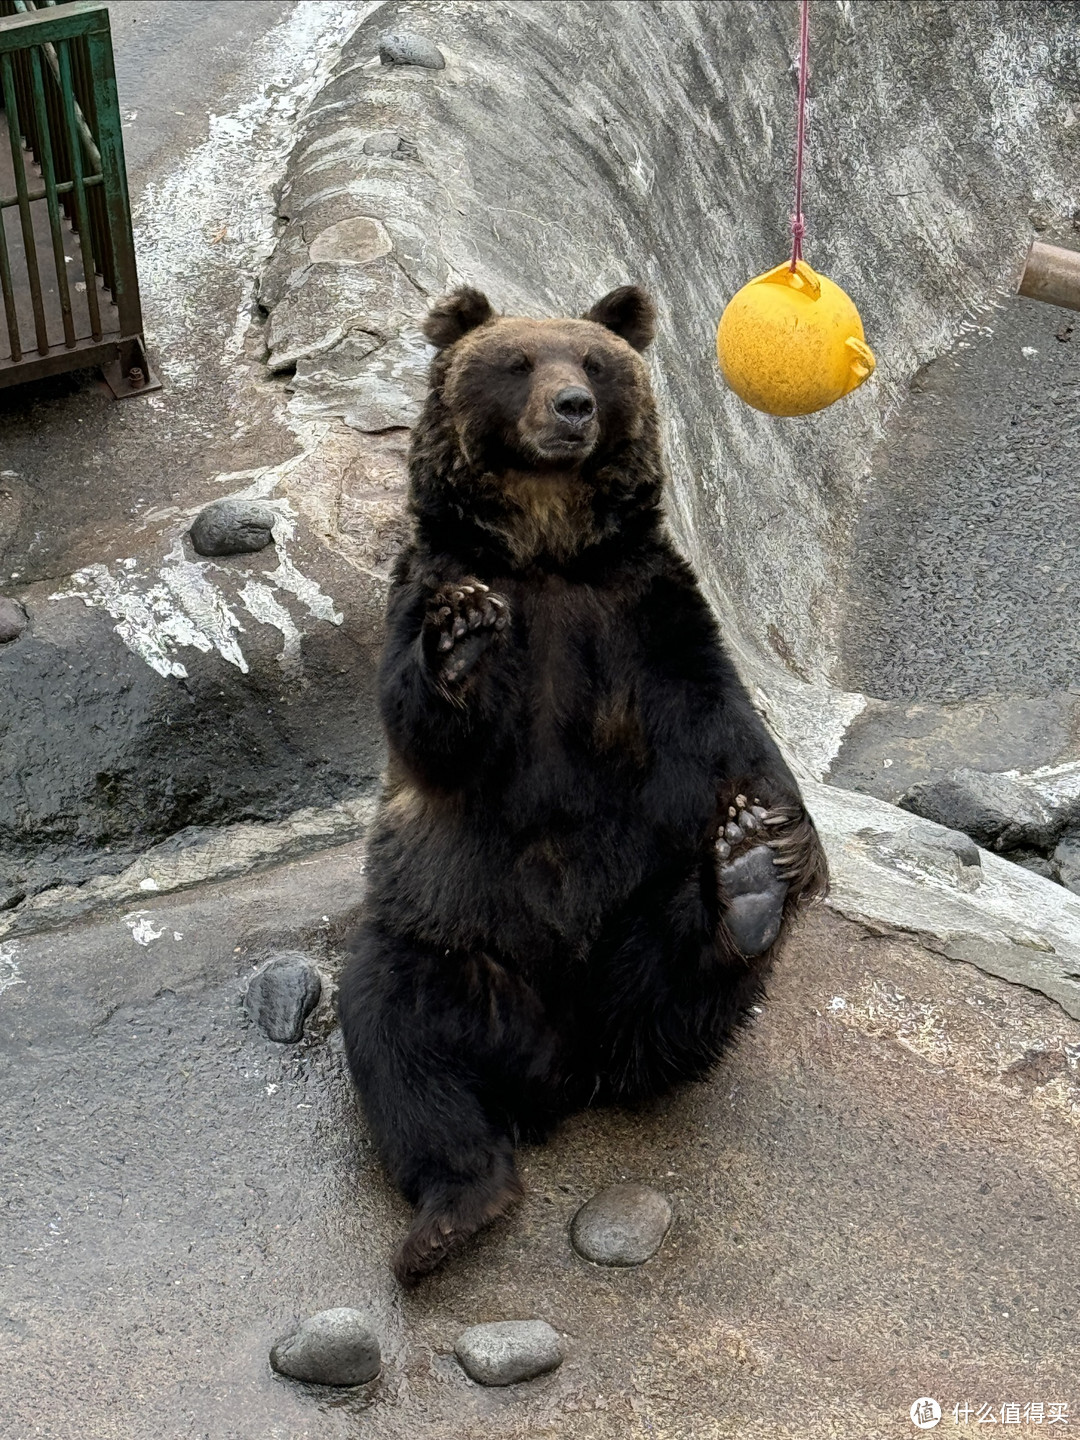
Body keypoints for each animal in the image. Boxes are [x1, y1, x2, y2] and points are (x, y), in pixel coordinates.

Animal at [339, 283, 829, 1284]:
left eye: (597, 364)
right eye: (518, 362)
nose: (572, 409)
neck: (547, 547)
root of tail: (570, 1069)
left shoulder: (646, 617)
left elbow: (728, 727)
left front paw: (784, 836)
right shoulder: (433, 579)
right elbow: (427, 730)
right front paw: (460, 640)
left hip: (636, 930)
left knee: (688, 962)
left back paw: (746, 887)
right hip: (458, 940)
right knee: (397, 1035)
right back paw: (454, 1210)